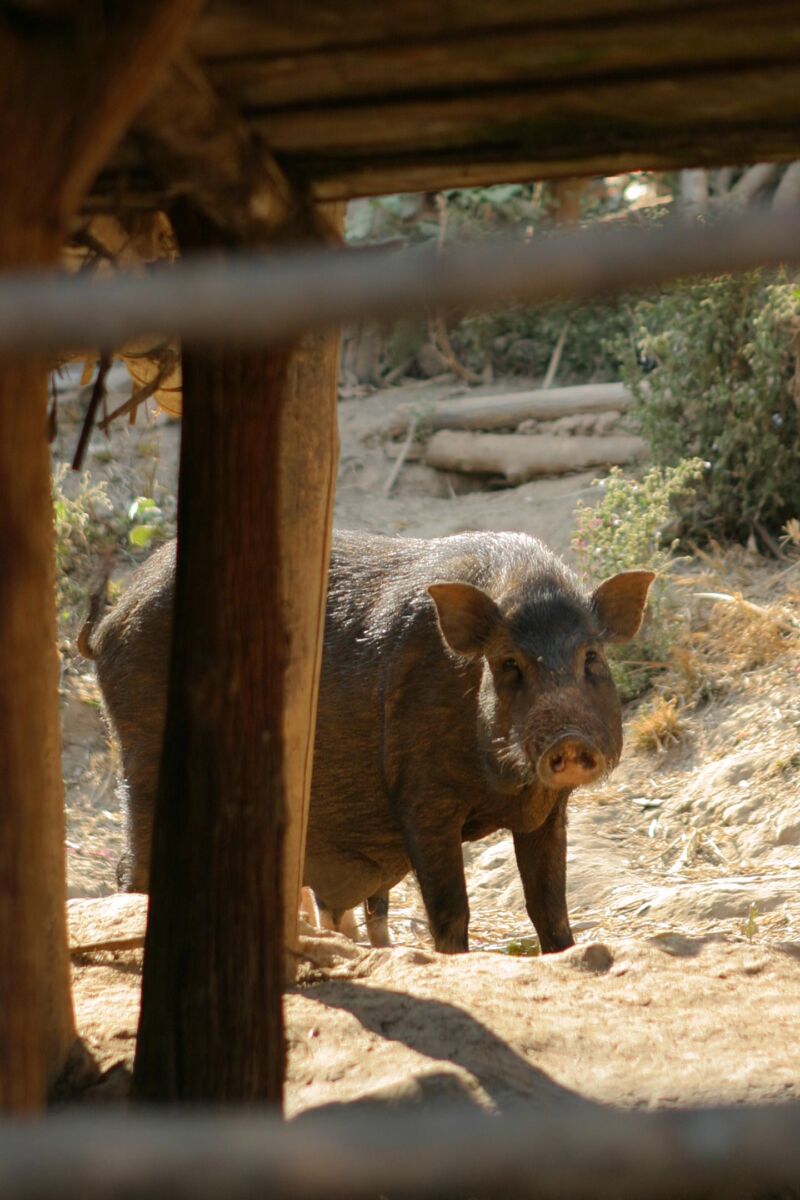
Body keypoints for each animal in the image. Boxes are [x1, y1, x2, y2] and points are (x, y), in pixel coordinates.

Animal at [81, 535, 652, 955]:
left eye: (592, 657)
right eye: (509, 663)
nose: (569, 739)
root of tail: (113, 618)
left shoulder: (548, 809)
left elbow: (549, 907)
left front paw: (563, 953)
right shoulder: (421, 798)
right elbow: (450, 909)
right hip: (141, 756)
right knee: (132, 869)